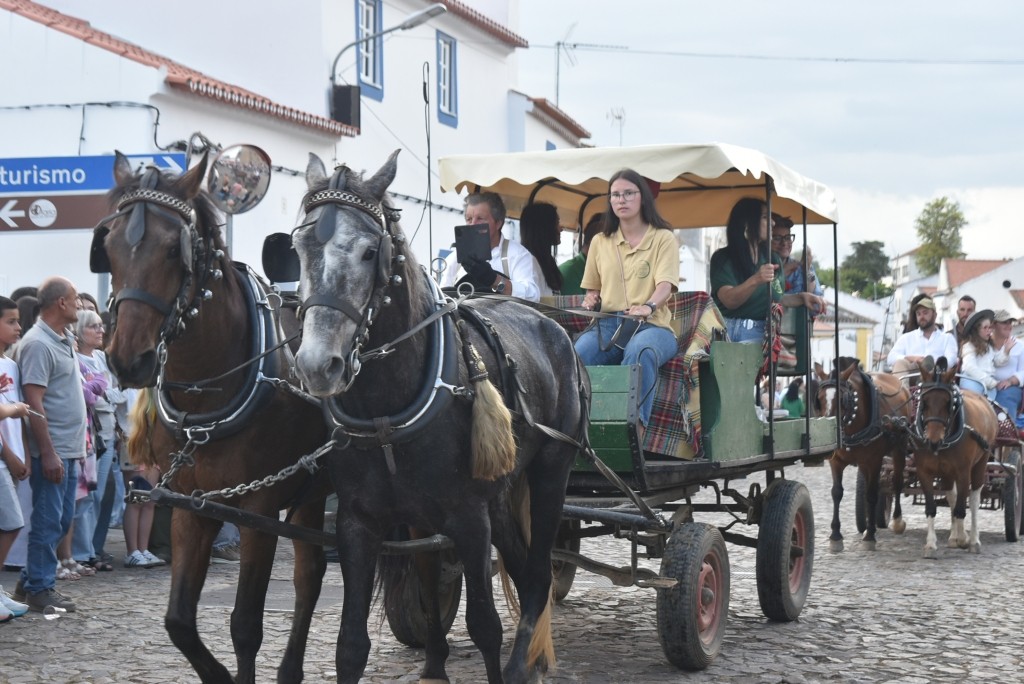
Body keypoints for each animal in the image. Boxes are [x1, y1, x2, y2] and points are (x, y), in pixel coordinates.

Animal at [91, 152, 330, 684]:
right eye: (108, 248)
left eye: (171, 251)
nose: (128, 360)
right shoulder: (190, 504)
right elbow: (179, 619)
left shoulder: (258, 511)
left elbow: (245, 624)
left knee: (310, 575)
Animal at [289, 151, 588, 684]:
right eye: (298, 247)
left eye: (370, 252)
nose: (317, 365)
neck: (388, 412)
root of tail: (553, 326)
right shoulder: (357, 523)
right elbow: (351, 645)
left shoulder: (469, 518)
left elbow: (485, 625)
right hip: (500, 494)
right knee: (517, 565)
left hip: (551, 471)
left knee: (535, 574)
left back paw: (521, 664)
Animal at [814, 358, 913, 552]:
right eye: (819, 399)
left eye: (843, 400)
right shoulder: (836, 461)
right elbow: (837, 493)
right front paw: (835, 536)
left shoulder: (875, 460)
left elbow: (872, 494)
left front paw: (870, 536)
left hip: (899, 448)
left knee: (897, 482)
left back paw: (897, 521)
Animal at [911, 356, 998, 557]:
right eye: (924, 401)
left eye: (947, 403)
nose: (933, 441)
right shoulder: (924, 472)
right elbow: (932, 506)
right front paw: (931, 544)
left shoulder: (963, 472)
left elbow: (961, 507)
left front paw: (964, 539)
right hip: (947, 472)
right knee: (952, 495)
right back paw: (953, 537)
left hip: (981, 462)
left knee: (973, 498)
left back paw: (972, 539)